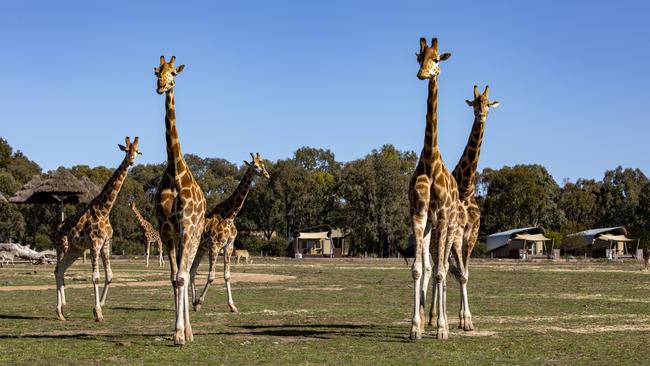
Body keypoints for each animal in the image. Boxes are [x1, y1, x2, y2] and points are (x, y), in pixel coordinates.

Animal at [53, 137, 140, 320]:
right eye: (126, 150)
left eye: (137, 151)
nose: (131, 161)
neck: (104, 209)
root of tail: (56, 230)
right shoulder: (94, 243)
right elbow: (96, 277)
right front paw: (97, 312)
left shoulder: (105, 243)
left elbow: (110, 276)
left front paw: (101, 305)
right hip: (62, 247)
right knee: (57, 270)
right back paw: (58, 310)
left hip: (75, 250)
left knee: (61, 270)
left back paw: (63, 309)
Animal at [190, 152, 268, 312]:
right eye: (255, 166)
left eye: (263, 164)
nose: (267, 175)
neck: (230, 216)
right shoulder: (215, 246)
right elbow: (211, 276)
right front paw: (200, 301)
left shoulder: (228, 246)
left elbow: (227, 275)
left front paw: (232, 306)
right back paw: (192, 302)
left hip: (201, 249)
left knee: (192, 271)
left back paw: (193, 303)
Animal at [428, 86, 498, 332]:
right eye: (475, 103)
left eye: (488, 104)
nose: (482, 115)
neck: (466, 186)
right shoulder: (457, 232)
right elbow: (457, 273)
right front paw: (462, 318)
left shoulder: (473, 233)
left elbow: (464, 274)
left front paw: (465, 319)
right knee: (436, 268)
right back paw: (432, 316)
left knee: (446, 269)